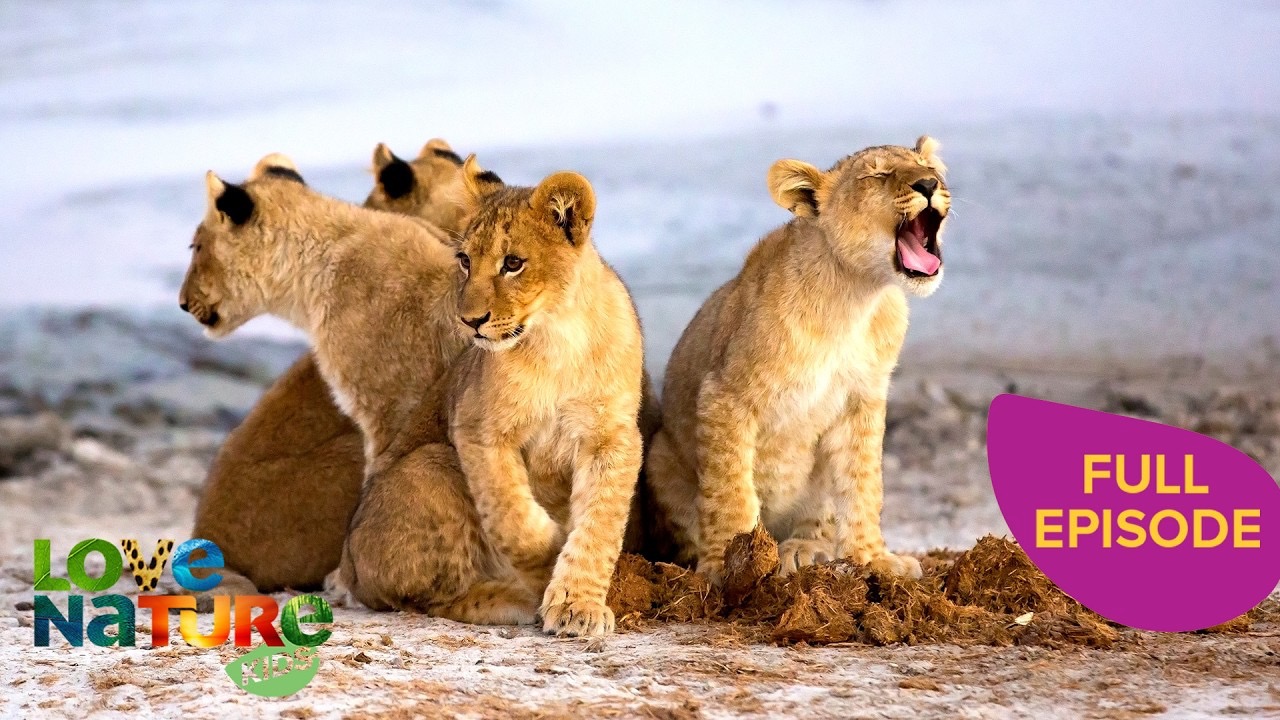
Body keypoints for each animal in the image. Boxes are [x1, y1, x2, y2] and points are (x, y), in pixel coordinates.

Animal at [443, 159, 646, 636]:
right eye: (465, 260)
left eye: (513, 263)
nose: (469, 320)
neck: (558, 338)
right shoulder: (477, 427)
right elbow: (510, 516)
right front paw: (549, 551)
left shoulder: (612, 437)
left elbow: (599, 523)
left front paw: (577, 605)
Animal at [643, 137, 951, 583]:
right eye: (876, 174)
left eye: (930, 168)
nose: (929, 184)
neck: (855, 296)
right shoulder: (724, 394)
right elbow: (730, 489)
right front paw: (725, 568)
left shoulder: (863, 401)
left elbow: (863, 484)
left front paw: (873, 559)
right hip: (659, 455)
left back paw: (803, 550)